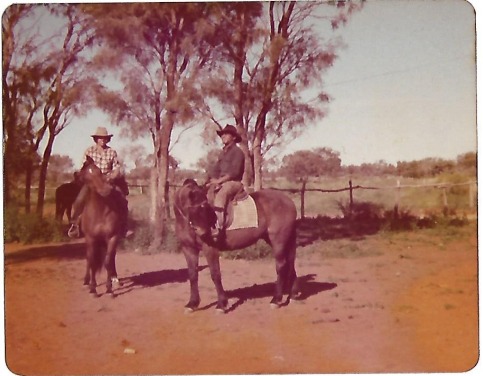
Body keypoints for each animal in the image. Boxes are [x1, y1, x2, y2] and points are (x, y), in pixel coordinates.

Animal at [78, 156, 124, 296]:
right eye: (86, 177)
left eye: (99, 171)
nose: (106, 190)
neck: (100, 212)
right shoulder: (91, 238)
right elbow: (92, 262)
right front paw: (93, 288)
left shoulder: (112, 237)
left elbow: (108, 262)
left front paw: (109, 288)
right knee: (88, 259)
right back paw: (86, 280)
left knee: (111, 259)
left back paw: (115, 279)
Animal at [176, 179, 300, 312]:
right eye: (200, 206)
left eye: (205, 206)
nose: (203, 231)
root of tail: (289, 201)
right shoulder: (189, 249)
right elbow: (192, 275)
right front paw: (192, 304)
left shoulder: (210, 249)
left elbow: (215, 274)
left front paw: (222, 305)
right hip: (278, 240)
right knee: (290, 263)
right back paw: (293, 295)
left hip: (278, 240)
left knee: (281, 266)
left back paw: (276, 300)